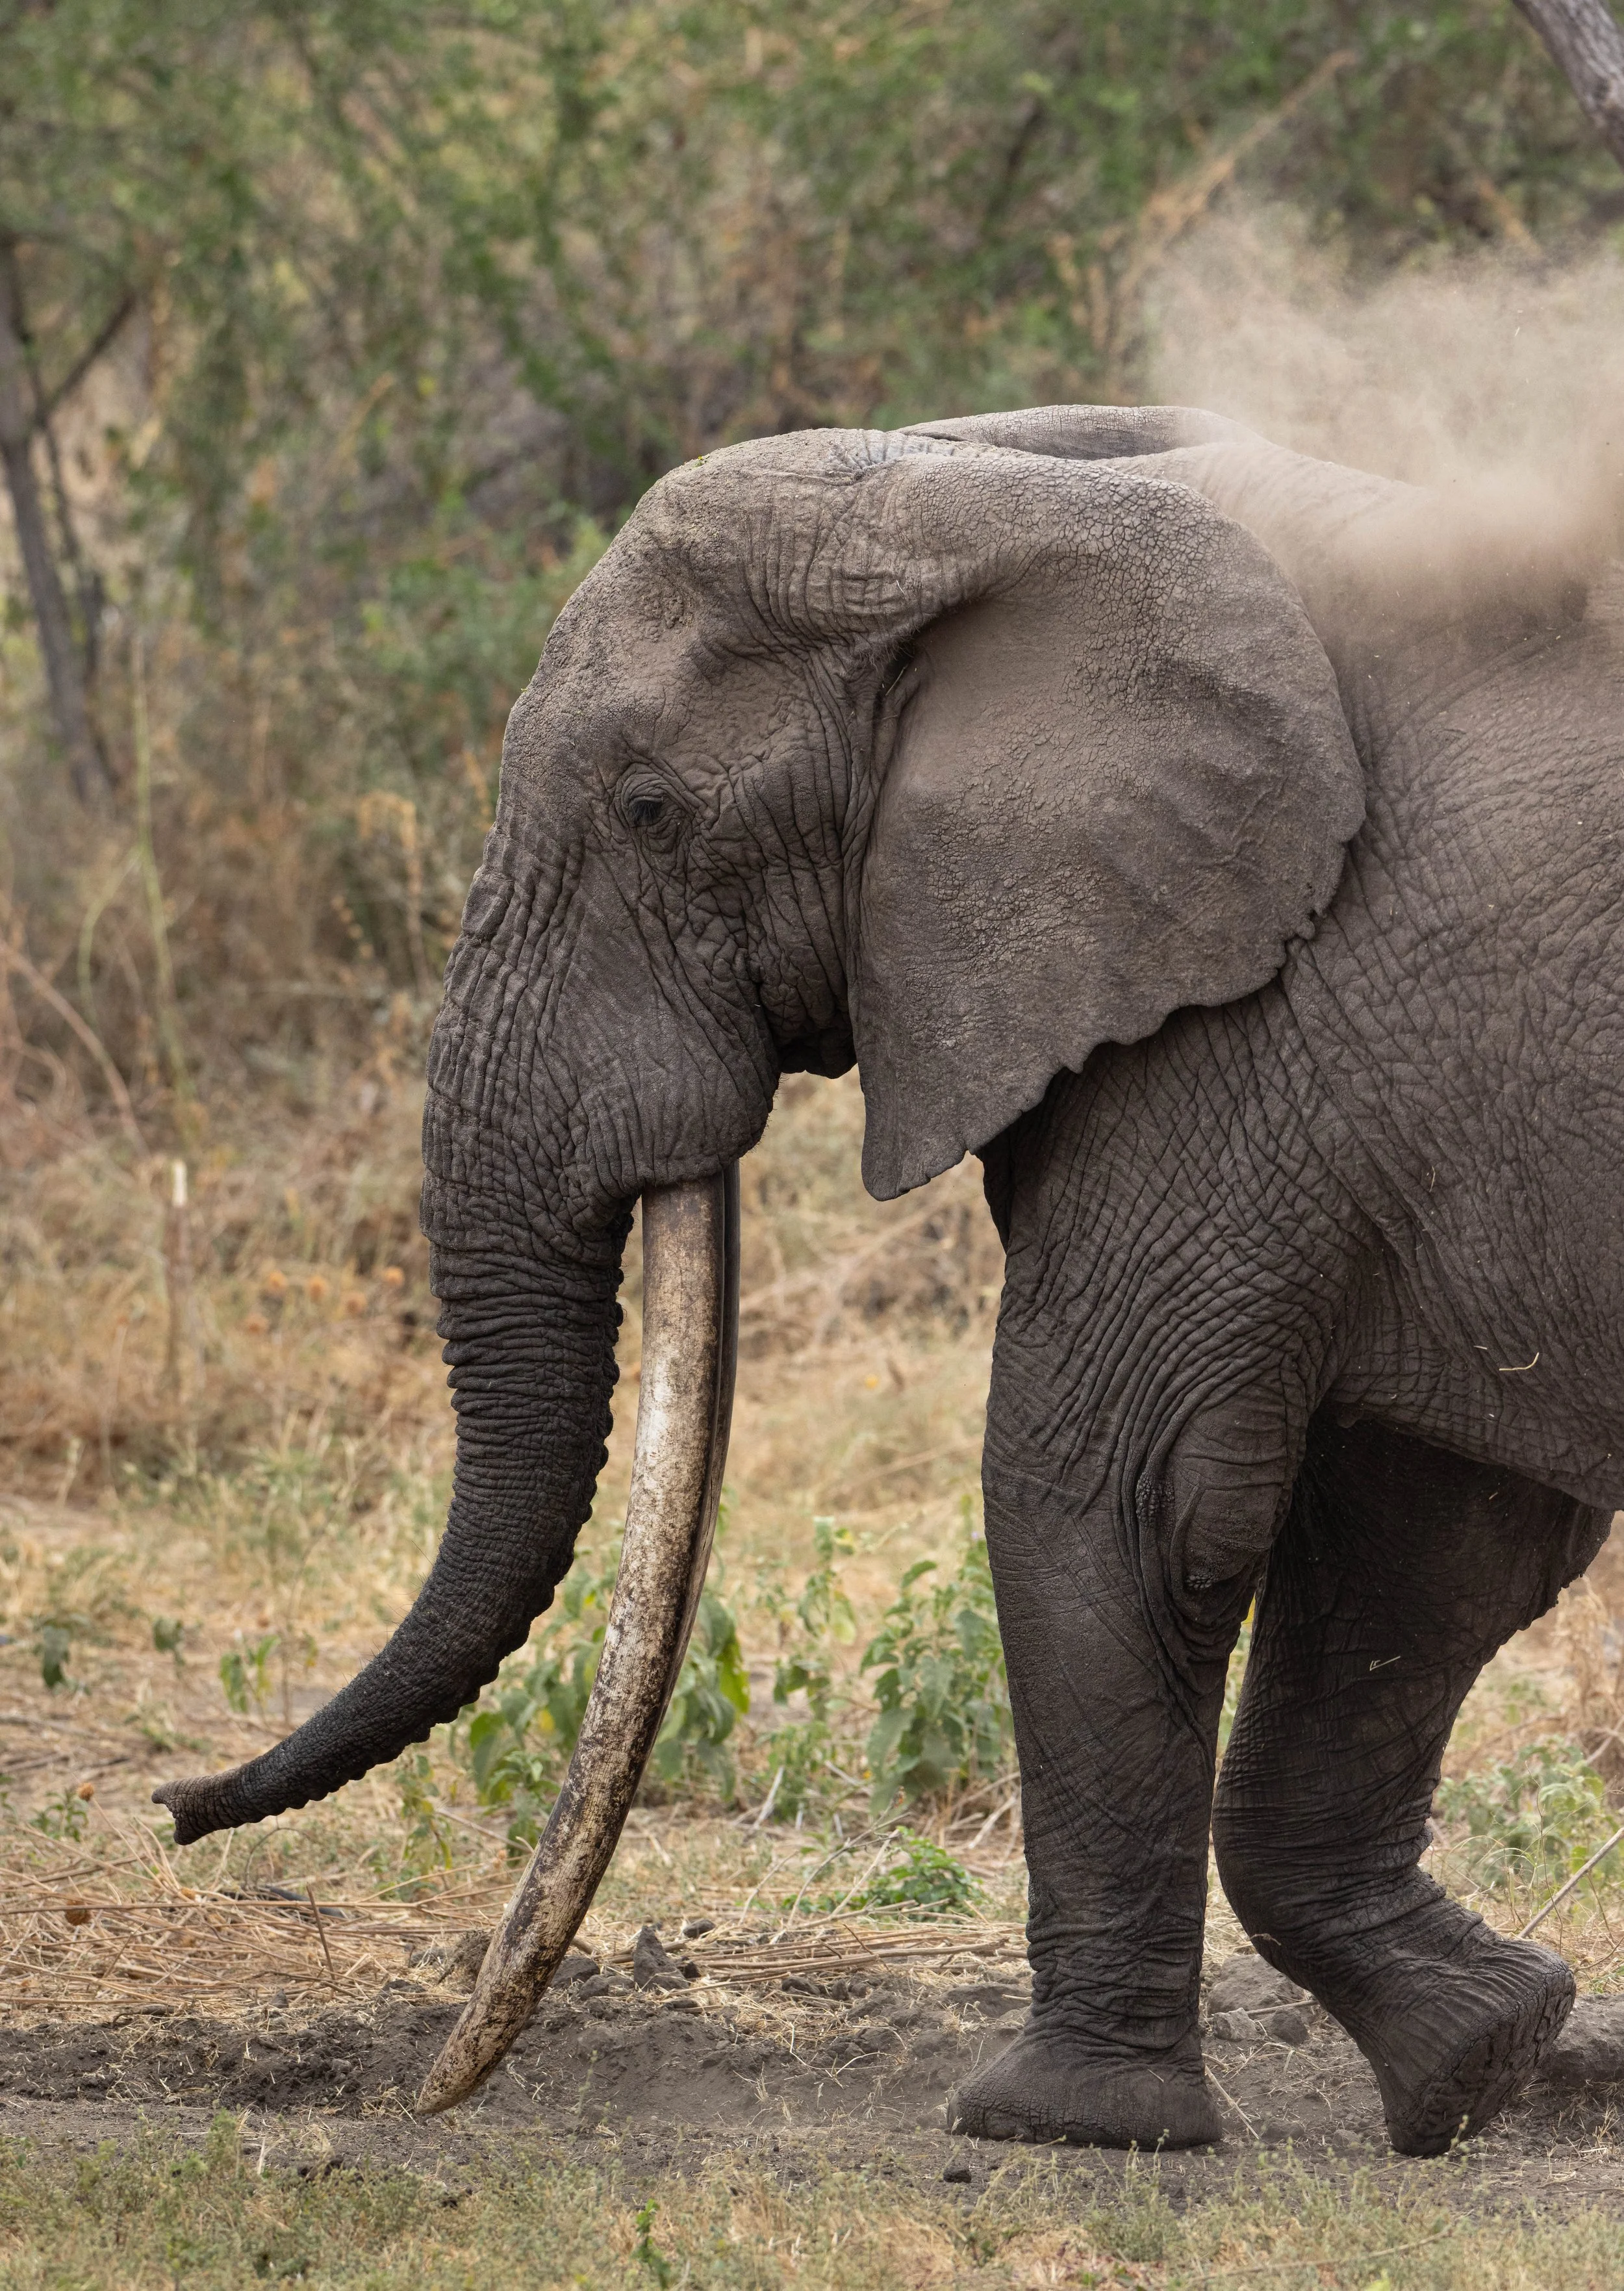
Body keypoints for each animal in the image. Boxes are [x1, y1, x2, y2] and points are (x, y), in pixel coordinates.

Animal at [156, 398, 1624, 2158]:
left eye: (648, 812)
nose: (170, 1808)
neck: (988, 495)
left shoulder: (1241, 1027)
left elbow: (1125, 1495)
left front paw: (1055, 2120)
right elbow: (1426, 1542)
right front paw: (1485, 2056)